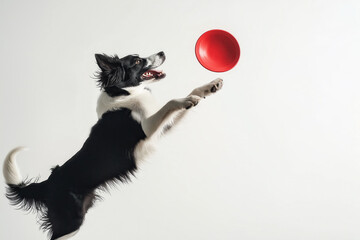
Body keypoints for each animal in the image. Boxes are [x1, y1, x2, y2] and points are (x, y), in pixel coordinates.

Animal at [2, 51, 222, 239]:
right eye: (137, 61)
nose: (162, 52)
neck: (124, 92)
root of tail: (48, 183)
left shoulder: (161, 129)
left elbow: (187, 96)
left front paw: (209, 87)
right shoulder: (147, 128)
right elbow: (171, 101)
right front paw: (187, 99)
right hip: (70, 222)